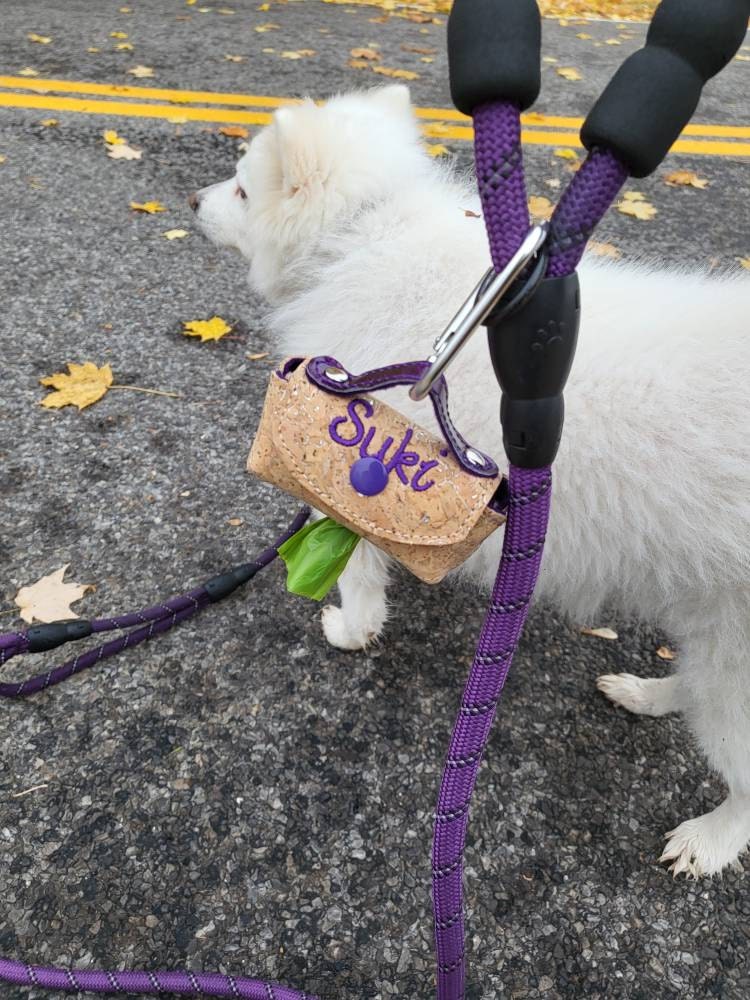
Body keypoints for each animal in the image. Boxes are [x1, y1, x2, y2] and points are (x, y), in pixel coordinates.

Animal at [192, 90, 750, 880]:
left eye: (241, 190)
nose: (191, 199)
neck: (362, 237)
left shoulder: (363, 479)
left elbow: (356, 577)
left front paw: (350, 631)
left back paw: (709, 839)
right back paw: (645, 694)